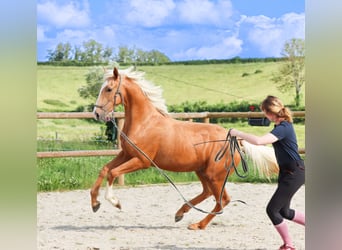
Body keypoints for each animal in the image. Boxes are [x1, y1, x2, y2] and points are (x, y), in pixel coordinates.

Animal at [91, 67, 278, 230]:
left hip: (215, 176)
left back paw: (197, 225)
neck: (145, 123)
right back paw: (180, 213)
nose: (97, 114)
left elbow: (113, 173)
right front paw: (95, 203)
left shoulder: (142, 161)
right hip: (202, 171)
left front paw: (115, 202)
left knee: (222, 201)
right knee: (207, 193)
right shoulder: (126, 154)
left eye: (108, 89)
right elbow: (104, 169)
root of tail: (236, 140)